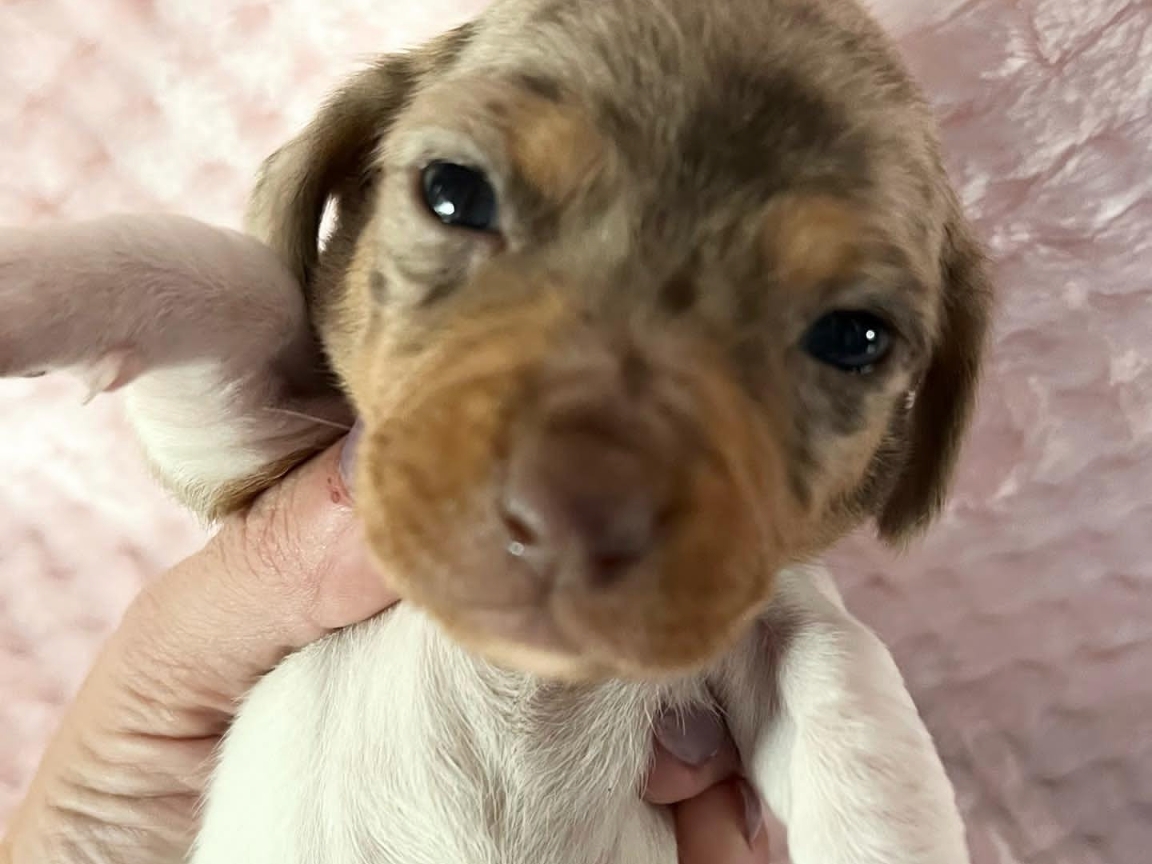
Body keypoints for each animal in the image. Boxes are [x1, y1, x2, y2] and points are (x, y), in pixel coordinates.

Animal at [0, 0, 990, 861]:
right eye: (453, 192)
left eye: (855, 337)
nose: (573, 515)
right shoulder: (242, 446)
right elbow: (213, 274)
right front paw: (25, 282)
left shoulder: (768, 625)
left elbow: (861, 729)